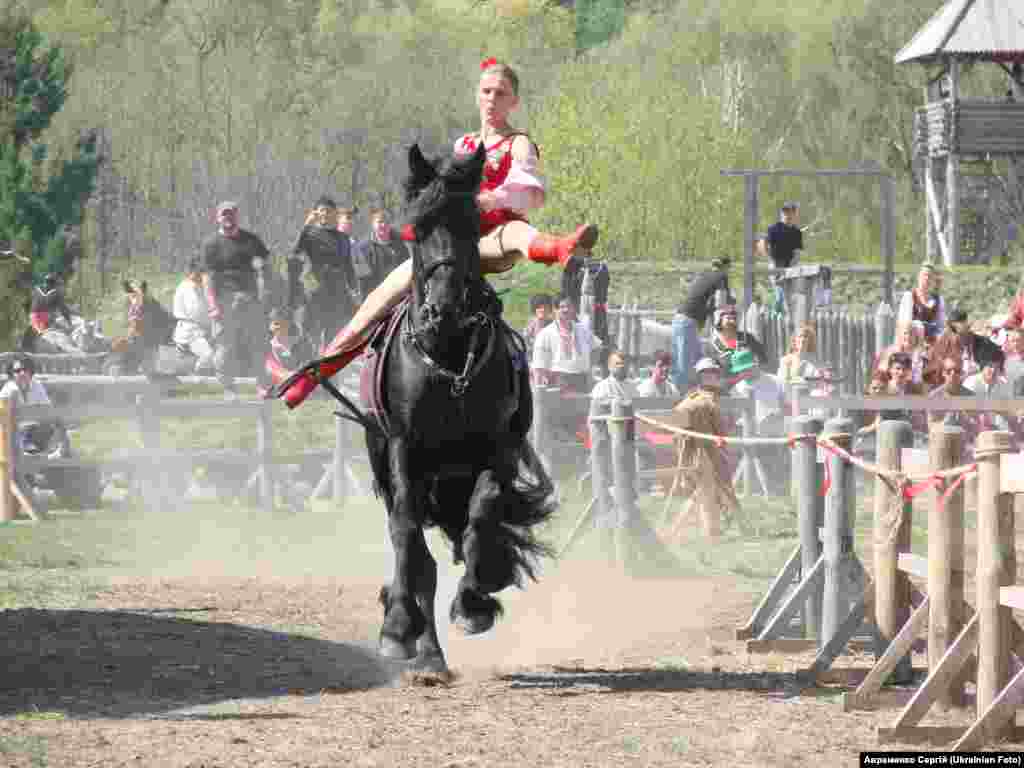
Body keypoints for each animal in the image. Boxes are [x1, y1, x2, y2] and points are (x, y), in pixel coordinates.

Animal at [329, 143, 552, 671]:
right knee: (415, 551)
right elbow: (407, 535)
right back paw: (421, 644)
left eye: (473, 226)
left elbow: (482, 519)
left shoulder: (497, 449)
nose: (444, 310)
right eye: (416, 229)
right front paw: (397, 625)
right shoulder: (402, 449)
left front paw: (474, 602)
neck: (447, 358)